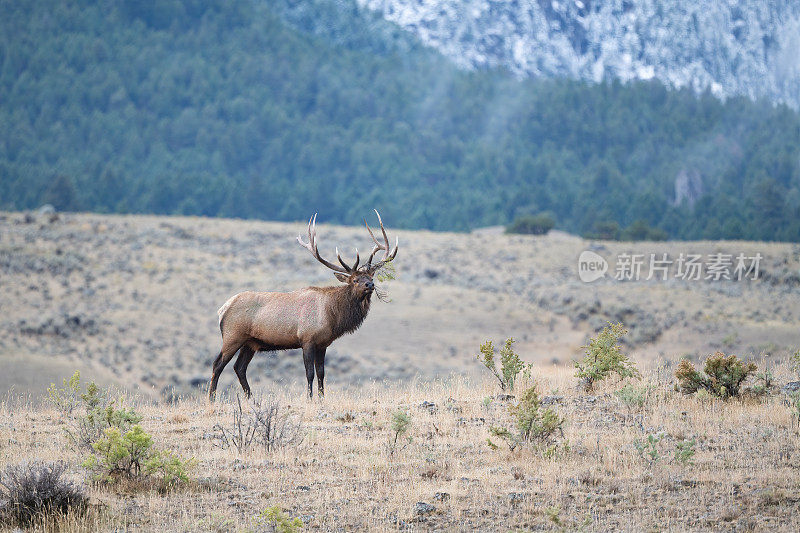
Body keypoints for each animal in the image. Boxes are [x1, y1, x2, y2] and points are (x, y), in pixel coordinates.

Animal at [208, 210, 398, 402]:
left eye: (371, 277)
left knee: (239, 367)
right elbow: (309, 373)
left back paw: (251, 399)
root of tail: (222, 309)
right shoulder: (307, 339)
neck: (331, 316)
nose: (370, 285)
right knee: (218, 364)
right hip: (233, 336)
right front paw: (310, 399)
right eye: (355, 280)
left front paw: (321, 399)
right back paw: (212, 399)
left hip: (250, 342)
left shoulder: (323, 344)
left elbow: (321, 373)